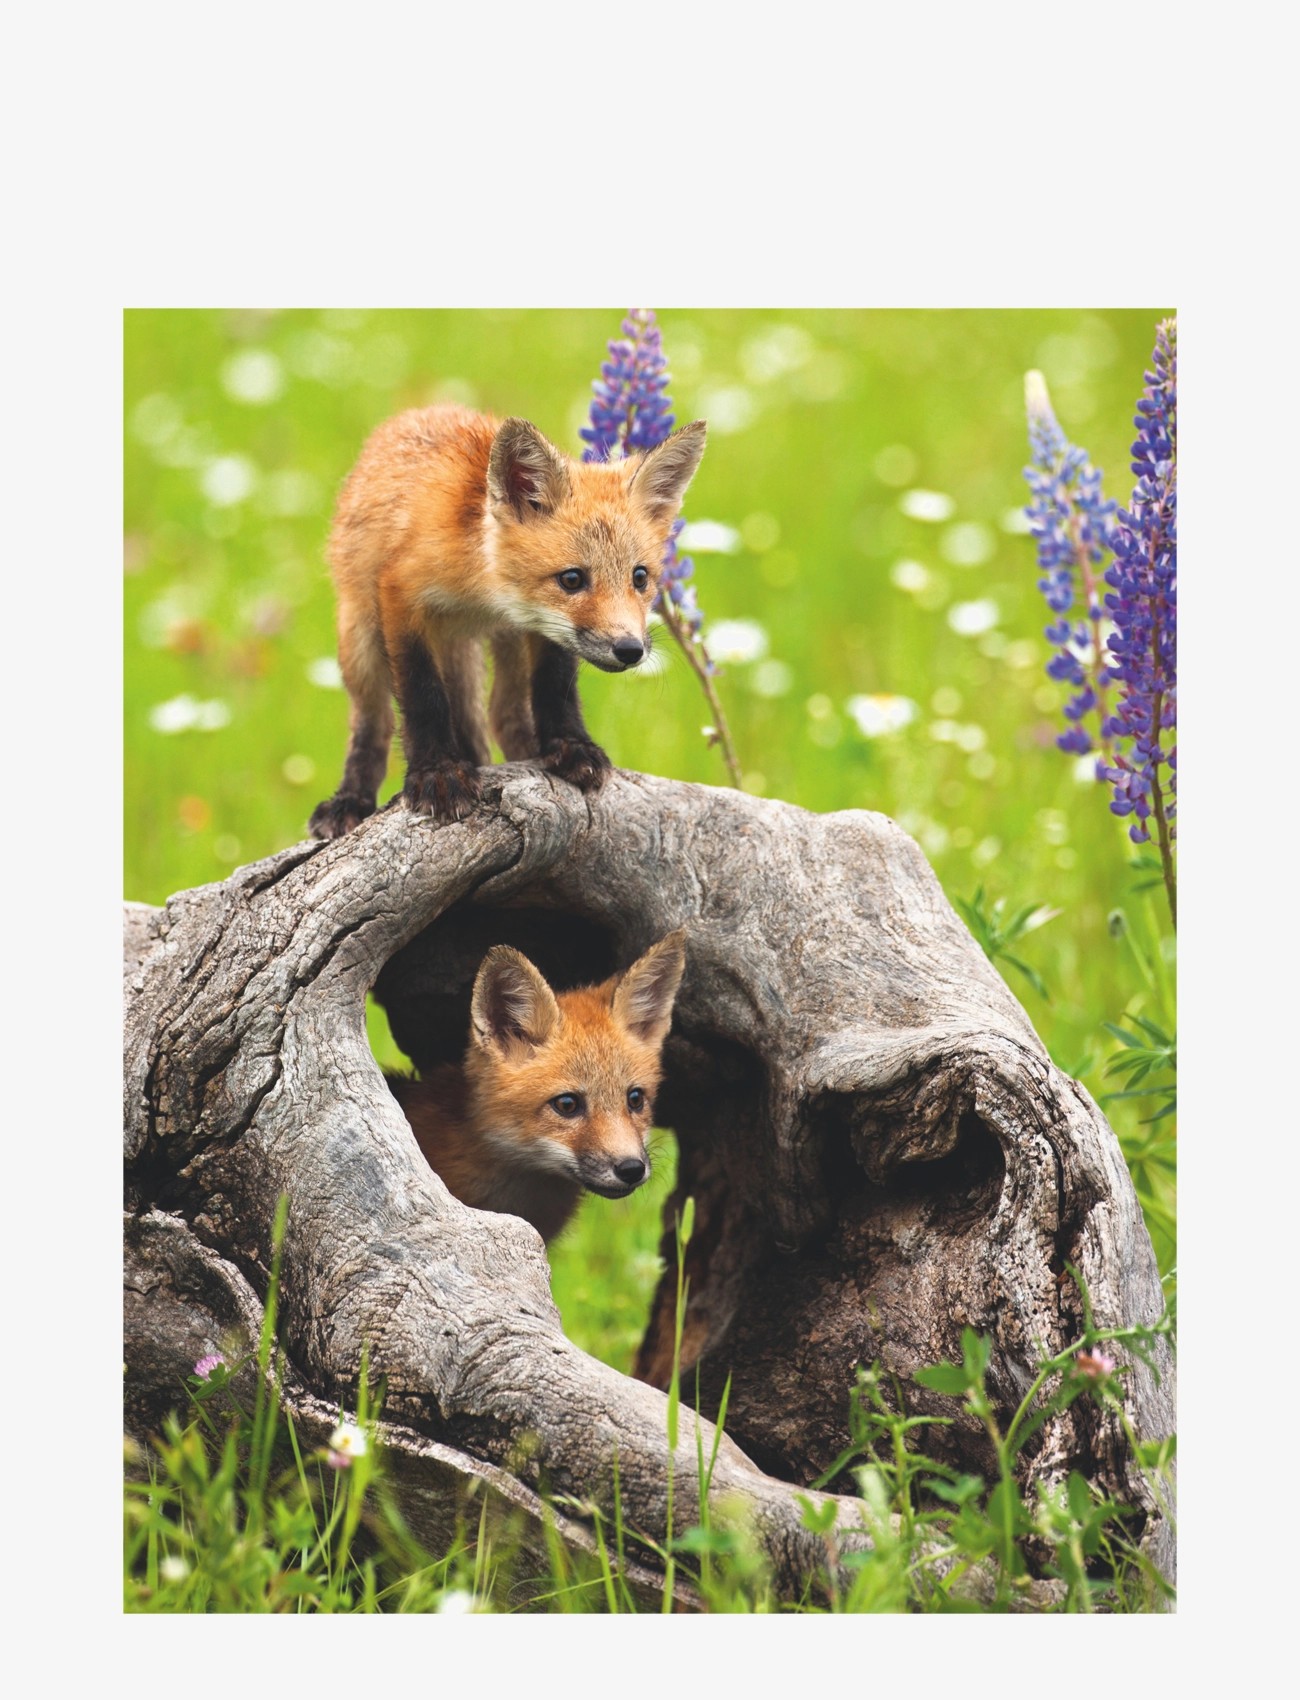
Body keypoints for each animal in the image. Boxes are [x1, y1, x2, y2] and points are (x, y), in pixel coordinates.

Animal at [308, 406, 707, 839]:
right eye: (572, 579)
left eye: (640, 577)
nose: (630, 649)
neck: (482, 590)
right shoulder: (400, 597)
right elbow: (423, 696)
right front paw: (438, 772)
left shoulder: (544, 630)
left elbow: (555, 687)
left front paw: (570, 746)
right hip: (360, 636)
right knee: (373, 722)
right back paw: (351, 799)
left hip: (508, 647)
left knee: (504, 713)